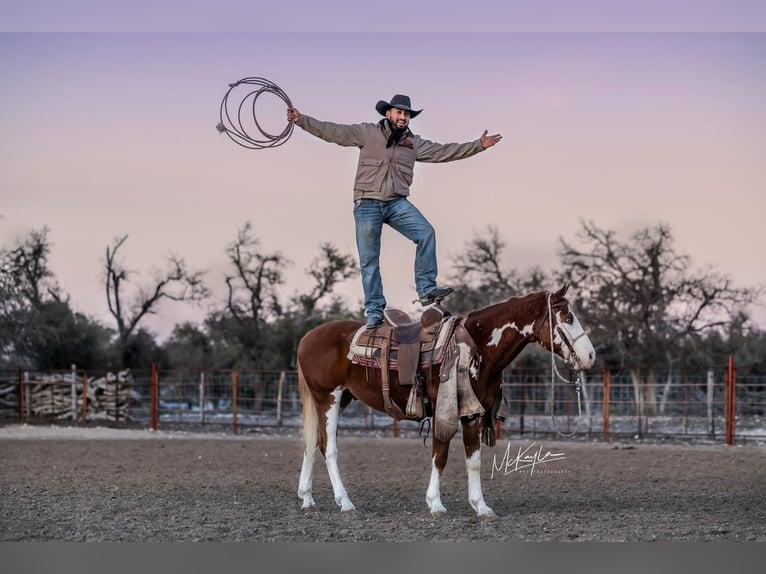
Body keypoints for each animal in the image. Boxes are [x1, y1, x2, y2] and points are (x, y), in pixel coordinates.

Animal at [296, 284, 596, 516]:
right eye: (568, 318)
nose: (591, 355)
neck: (477, 346)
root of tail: (306, 338)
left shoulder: (474, 413)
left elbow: (473, 460)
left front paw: (481, 507)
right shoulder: (445, 410)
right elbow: (440, 456)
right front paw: (436, 504)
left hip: (340, 399)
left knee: (312, 444)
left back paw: (308, 499)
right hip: (328, 398)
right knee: (328, 447)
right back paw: (345, 502)